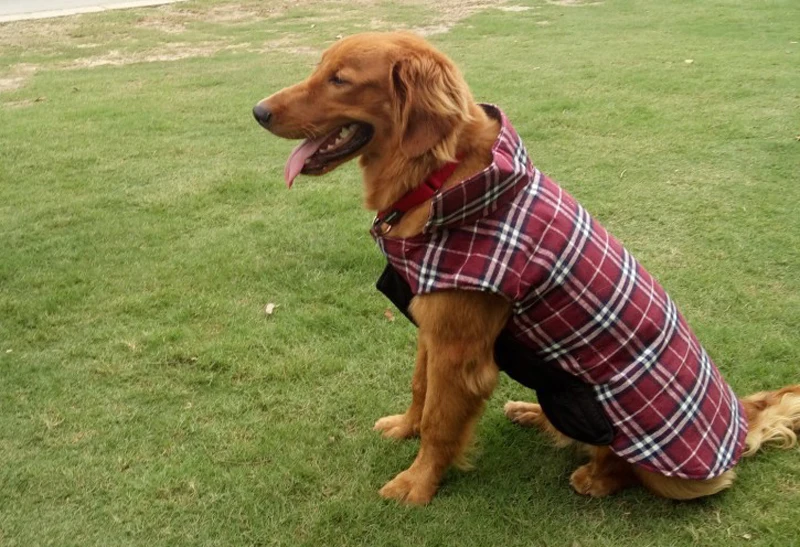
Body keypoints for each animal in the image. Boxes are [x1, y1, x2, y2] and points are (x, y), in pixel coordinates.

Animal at [255, 32, 800, 506]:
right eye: (319, 68)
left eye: (340, 80)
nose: (257, 111)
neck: (440, 179)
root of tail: (740, 421)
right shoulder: (432, 320)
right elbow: (420, 388)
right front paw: (405, 429)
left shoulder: (459, 348)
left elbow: (439, 420)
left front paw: (418, 483)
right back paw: (529, 413)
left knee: (622, 466)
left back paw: (593, 476)